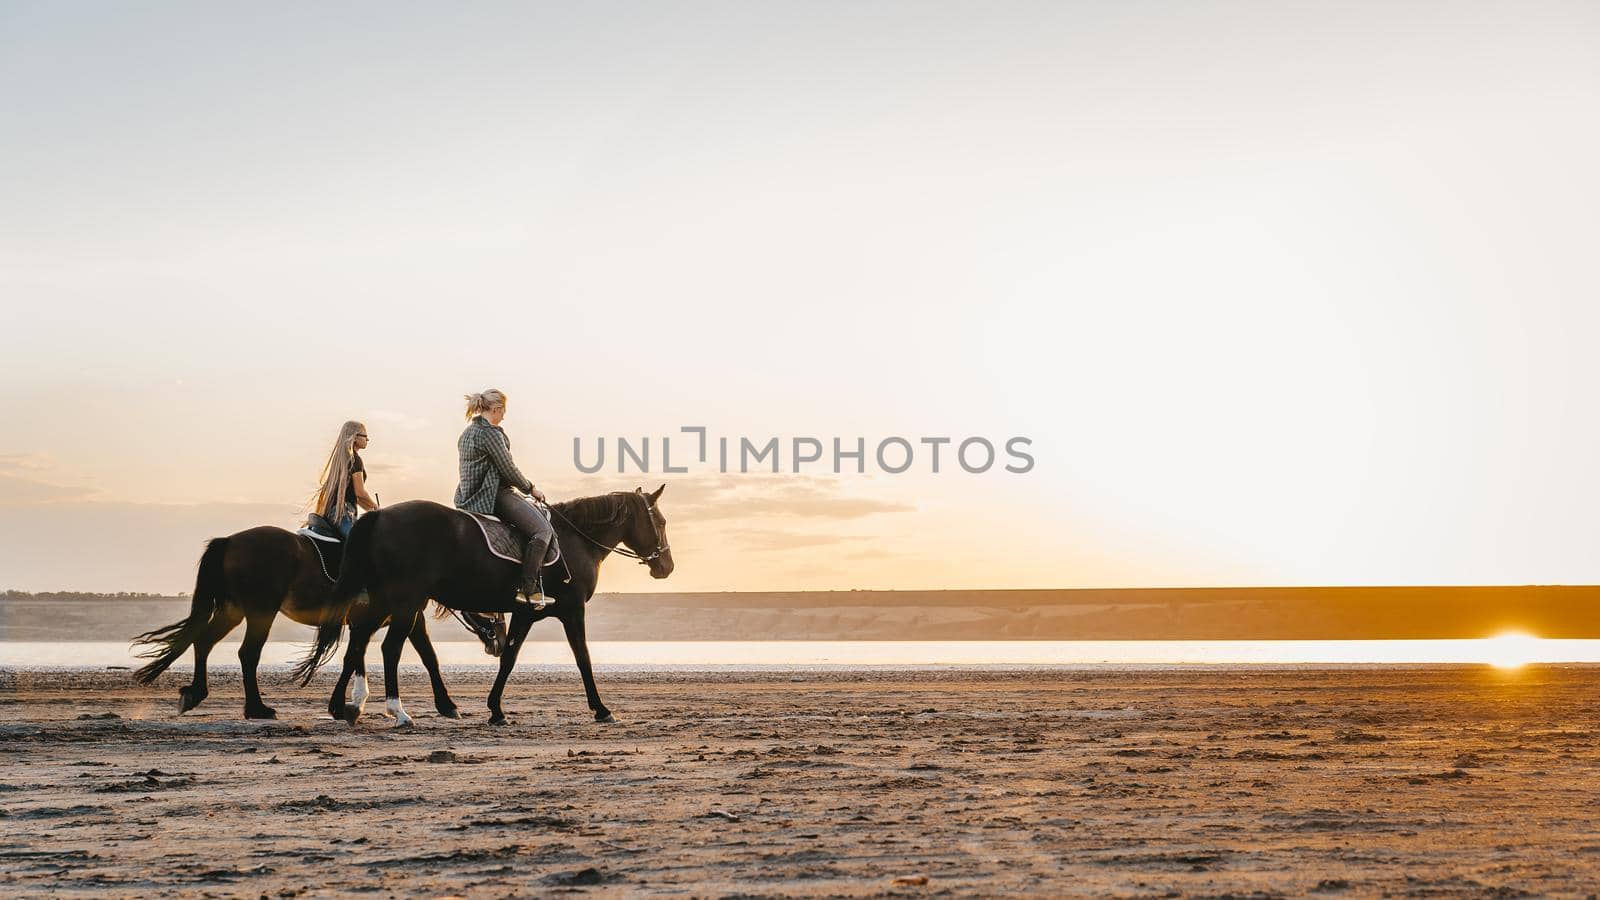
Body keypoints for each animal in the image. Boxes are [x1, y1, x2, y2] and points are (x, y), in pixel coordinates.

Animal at [132, 522, 499, 717]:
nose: (496, 643)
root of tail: (231, 541)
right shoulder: (405, 615)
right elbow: (427, 657)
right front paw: (446, 704)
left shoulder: (371, 621)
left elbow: (360, 657)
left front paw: (354, 701)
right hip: (260, 612)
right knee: (247, 654)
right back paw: (257, 708)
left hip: (232, 610)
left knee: (203, 641)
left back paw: (196, 693)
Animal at [292, 483, 668, 720]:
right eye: (661, 522)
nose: (667, 566)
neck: (575, 540)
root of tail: (380, 516)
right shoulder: (572, 610)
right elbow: (583, 658)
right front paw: (601, 709)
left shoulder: (525, 614)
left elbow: (510, 659)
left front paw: (496, 710)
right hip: (404, 602)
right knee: (388, 648)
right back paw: (397, 711)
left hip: (387, 603)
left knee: (358, 642)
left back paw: (342, 706)